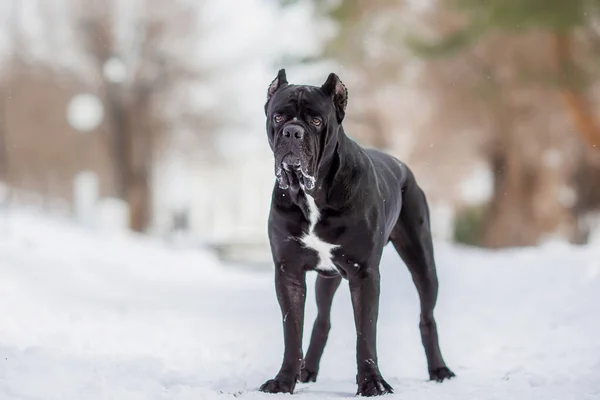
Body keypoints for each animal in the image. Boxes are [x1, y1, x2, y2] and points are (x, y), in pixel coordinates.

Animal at [258, 69, 454, 396]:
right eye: (278, 117)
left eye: (316, 120)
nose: (292, 133)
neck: (313, 193)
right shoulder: (289, 272)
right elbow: (292, 331)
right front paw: (284, 380)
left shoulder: (364, 274)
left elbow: (366, 334)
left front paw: (372, 383)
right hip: (329, 278)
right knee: (322, 320)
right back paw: (307, 369)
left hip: (423, 264)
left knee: (427, 318)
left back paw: (439, 369)